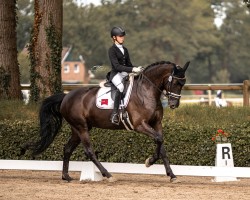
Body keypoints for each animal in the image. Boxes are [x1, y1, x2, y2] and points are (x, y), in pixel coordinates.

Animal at [25, 60, 189, 183]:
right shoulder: (139, 125)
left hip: (77, 129)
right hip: (82, 127)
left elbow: (161, 145)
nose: (174, 104)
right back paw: (108, 175)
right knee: (89, 151)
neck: (147, 91)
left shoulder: (156, 124)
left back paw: (66, 176)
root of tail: (66, 96)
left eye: (183, 83)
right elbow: (159, 140)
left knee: (67, 149)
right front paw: (149, 161)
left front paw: (171, 175)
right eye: (175, 82)